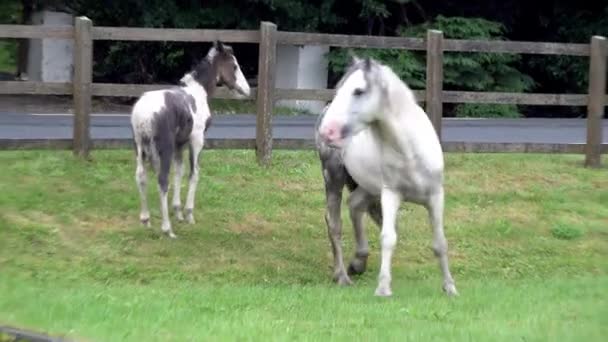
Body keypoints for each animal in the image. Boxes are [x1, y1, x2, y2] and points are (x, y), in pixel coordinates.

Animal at [131, 40, 249, 238]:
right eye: (234, 66)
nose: (247, 90)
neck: (198, 93)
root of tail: (143, 115)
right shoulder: (196, 140)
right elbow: (194, 173)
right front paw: (189, 214)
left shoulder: (180, 144)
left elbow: (179, 172)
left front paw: (178, 211)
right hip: (164, 148)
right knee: (162, 180)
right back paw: (167, 229)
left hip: (140, 148)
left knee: (141, 177)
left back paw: (146, 220)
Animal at [316, 56, 458, 296]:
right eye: (338, 89)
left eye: (358, 91)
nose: (328, 132)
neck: (410, 151)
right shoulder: (391, 194)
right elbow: (388, 238)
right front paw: (383, 288)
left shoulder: (436, 196)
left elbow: (440, 243)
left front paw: (450, 287)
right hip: (333, 177)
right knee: (334, 224)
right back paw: (342, 275)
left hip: (368, 188)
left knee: (355, 205)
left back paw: (358, 262)